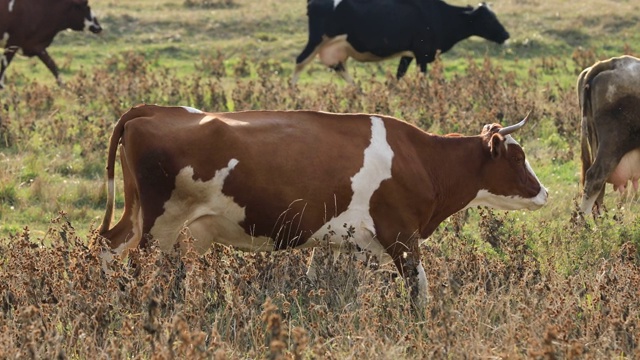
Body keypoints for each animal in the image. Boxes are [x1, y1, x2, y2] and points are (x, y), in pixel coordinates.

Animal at [101, 105, 552, 306]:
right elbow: (418, 287)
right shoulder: (401, 234)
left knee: (109, 247)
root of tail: (154, 111)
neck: (421, 159)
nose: (545, 192)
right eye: (517, 157)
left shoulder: (346, 244)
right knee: (137, 268)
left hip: (142, 221)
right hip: (159, 226)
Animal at [294, 0, 510, 85]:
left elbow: (398, 77)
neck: (439, 16)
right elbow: (421, 79)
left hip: (336, 48)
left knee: (340, 68)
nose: (506, 35)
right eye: (488, 19)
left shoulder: (409, 54)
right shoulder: (423, 53)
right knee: (300, 61)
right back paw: (293, 94)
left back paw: (359, 92)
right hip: (317, 40)